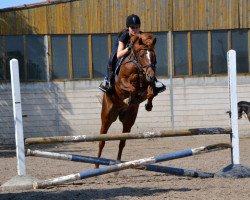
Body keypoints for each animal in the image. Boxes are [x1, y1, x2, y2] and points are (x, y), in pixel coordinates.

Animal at [95, 33, 156, 169]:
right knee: (101, 142)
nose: (151, 75)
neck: (137, 66)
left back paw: (118, 167)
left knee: (122, 143)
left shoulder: (147, 83)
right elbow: (131, 88)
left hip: (128, 120)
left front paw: (148, 105)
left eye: (153, 56)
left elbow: (151, 92)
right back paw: (96, 166)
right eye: (142, 55)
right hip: (107, 118)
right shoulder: (121, 83)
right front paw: (129, 98)